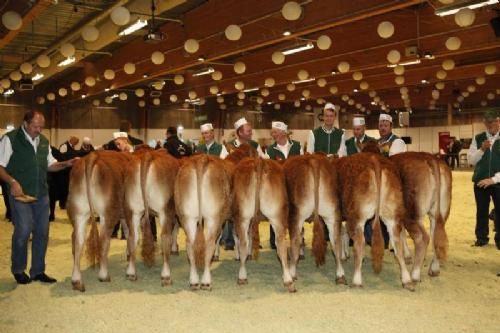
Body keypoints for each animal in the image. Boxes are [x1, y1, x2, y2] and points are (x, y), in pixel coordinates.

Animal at [231, 156, 294, 290]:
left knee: (243, 243)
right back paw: (288, 280)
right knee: (281, 244)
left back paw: (242, 276)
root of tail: (259, 161)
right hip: (276, 216)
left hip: (243, 217)